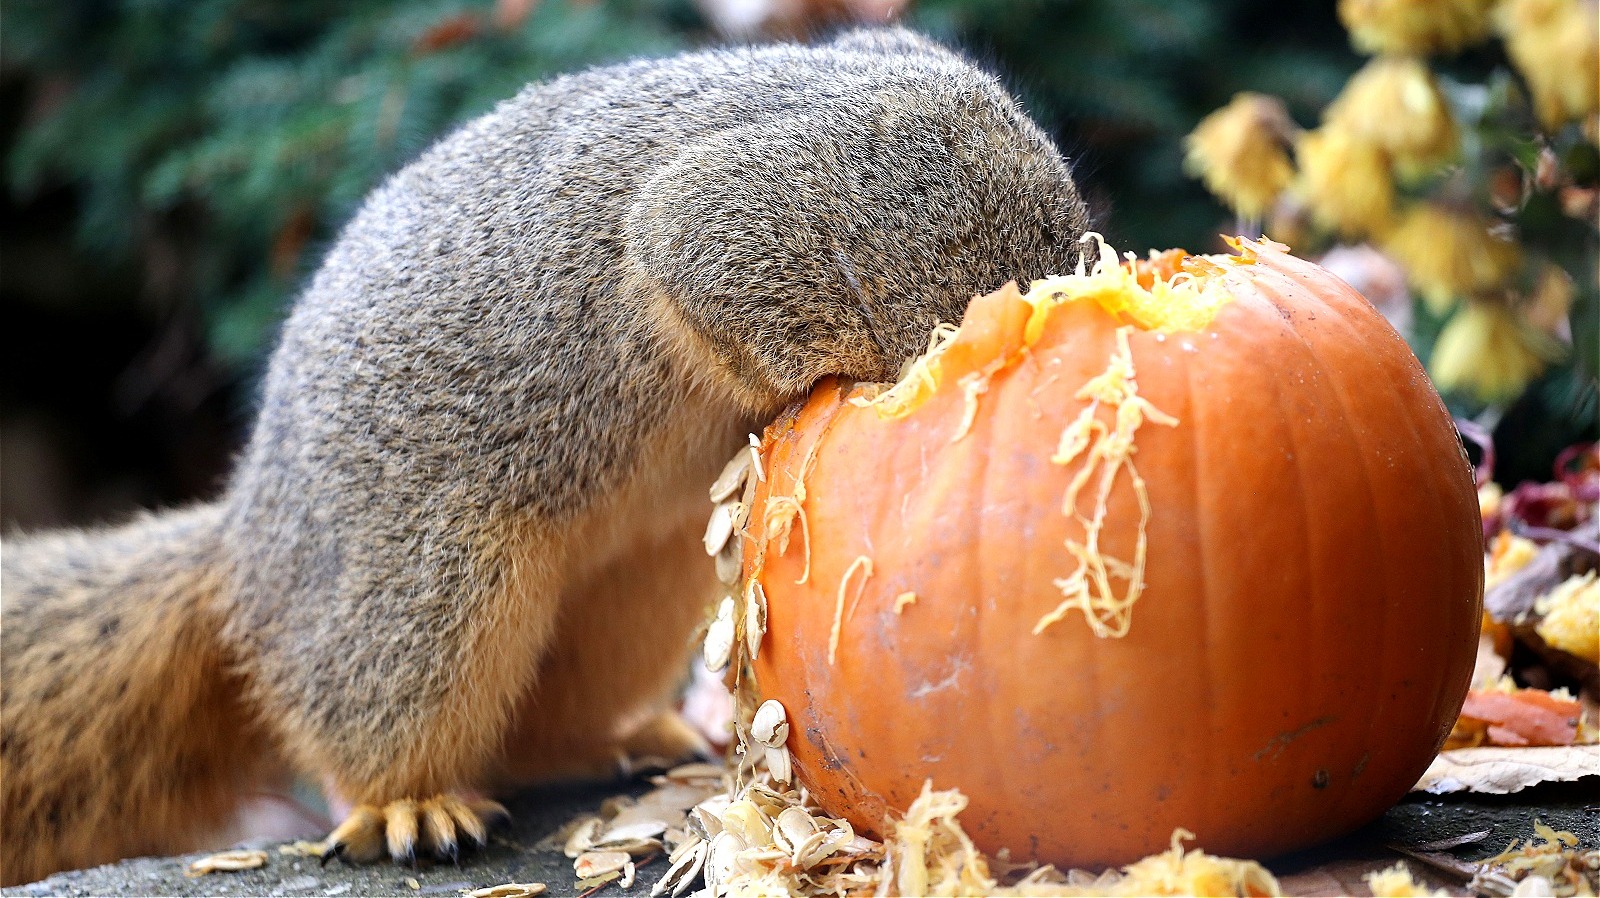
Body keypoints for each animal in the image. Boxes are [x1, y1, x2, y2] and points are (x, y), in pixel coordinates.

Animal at [0, 26, 1088, 883]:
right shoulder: (742, 218)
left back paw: (639, 737)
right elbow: (697, 264)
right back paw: (406, 804)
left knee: (551, 721)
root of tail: (246, 542)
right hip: (422, 588)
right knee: (365, 710)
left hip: (632, 596)